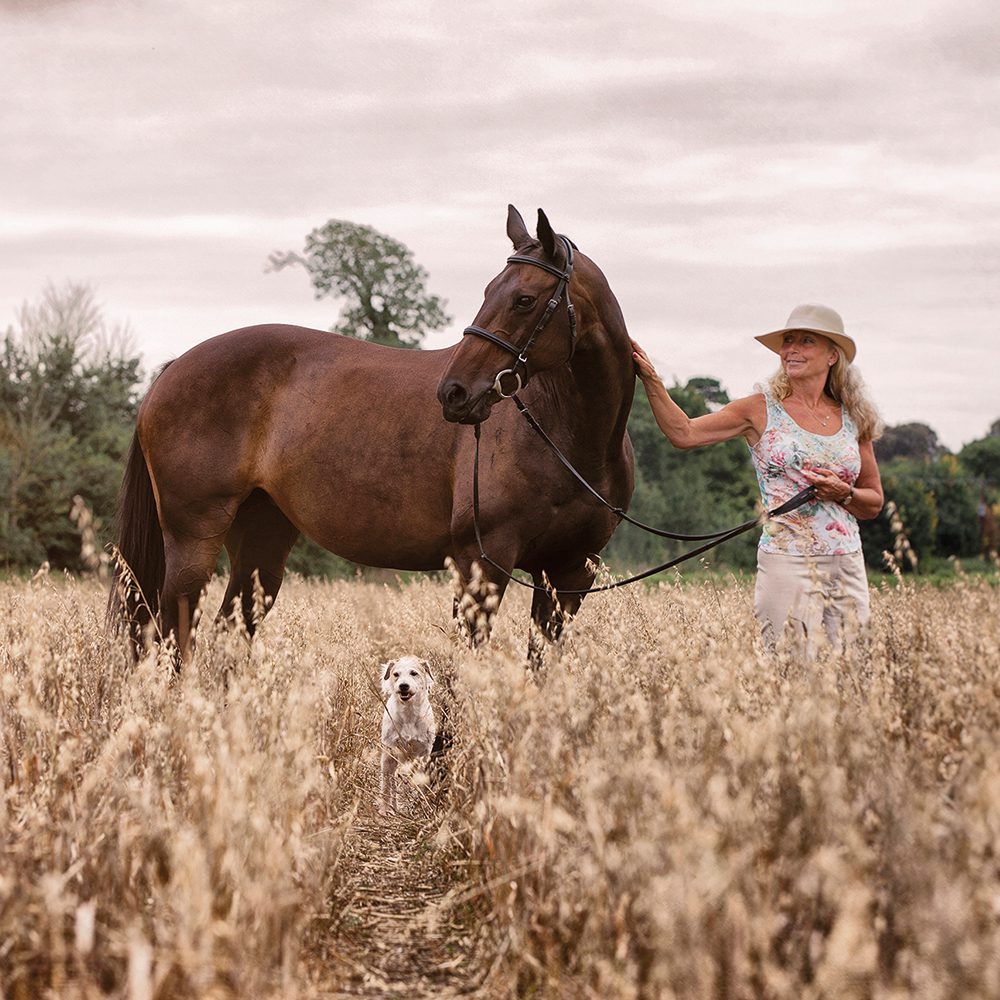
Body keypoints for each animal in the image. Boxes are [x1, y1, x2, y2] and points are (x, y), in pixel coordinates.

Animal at [109, 206, 636, 660]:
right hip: (192, 543)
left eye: (524, 299)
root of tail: (174, 368)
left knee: (226, 632)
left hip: (261, 543)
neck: (568, 439)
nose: (454, 392)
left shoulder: (568, 574)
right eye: (489, 291)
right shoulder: (481, 564)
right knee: (174, 637)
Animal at [378, 656, 434, 812]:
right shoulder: (389, 754)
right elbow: (386, 786)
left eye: (413, 673)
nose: (403, 686)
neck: (408, 713)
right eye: (396, 674)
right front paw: (384, 810)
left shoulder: (422, 754)